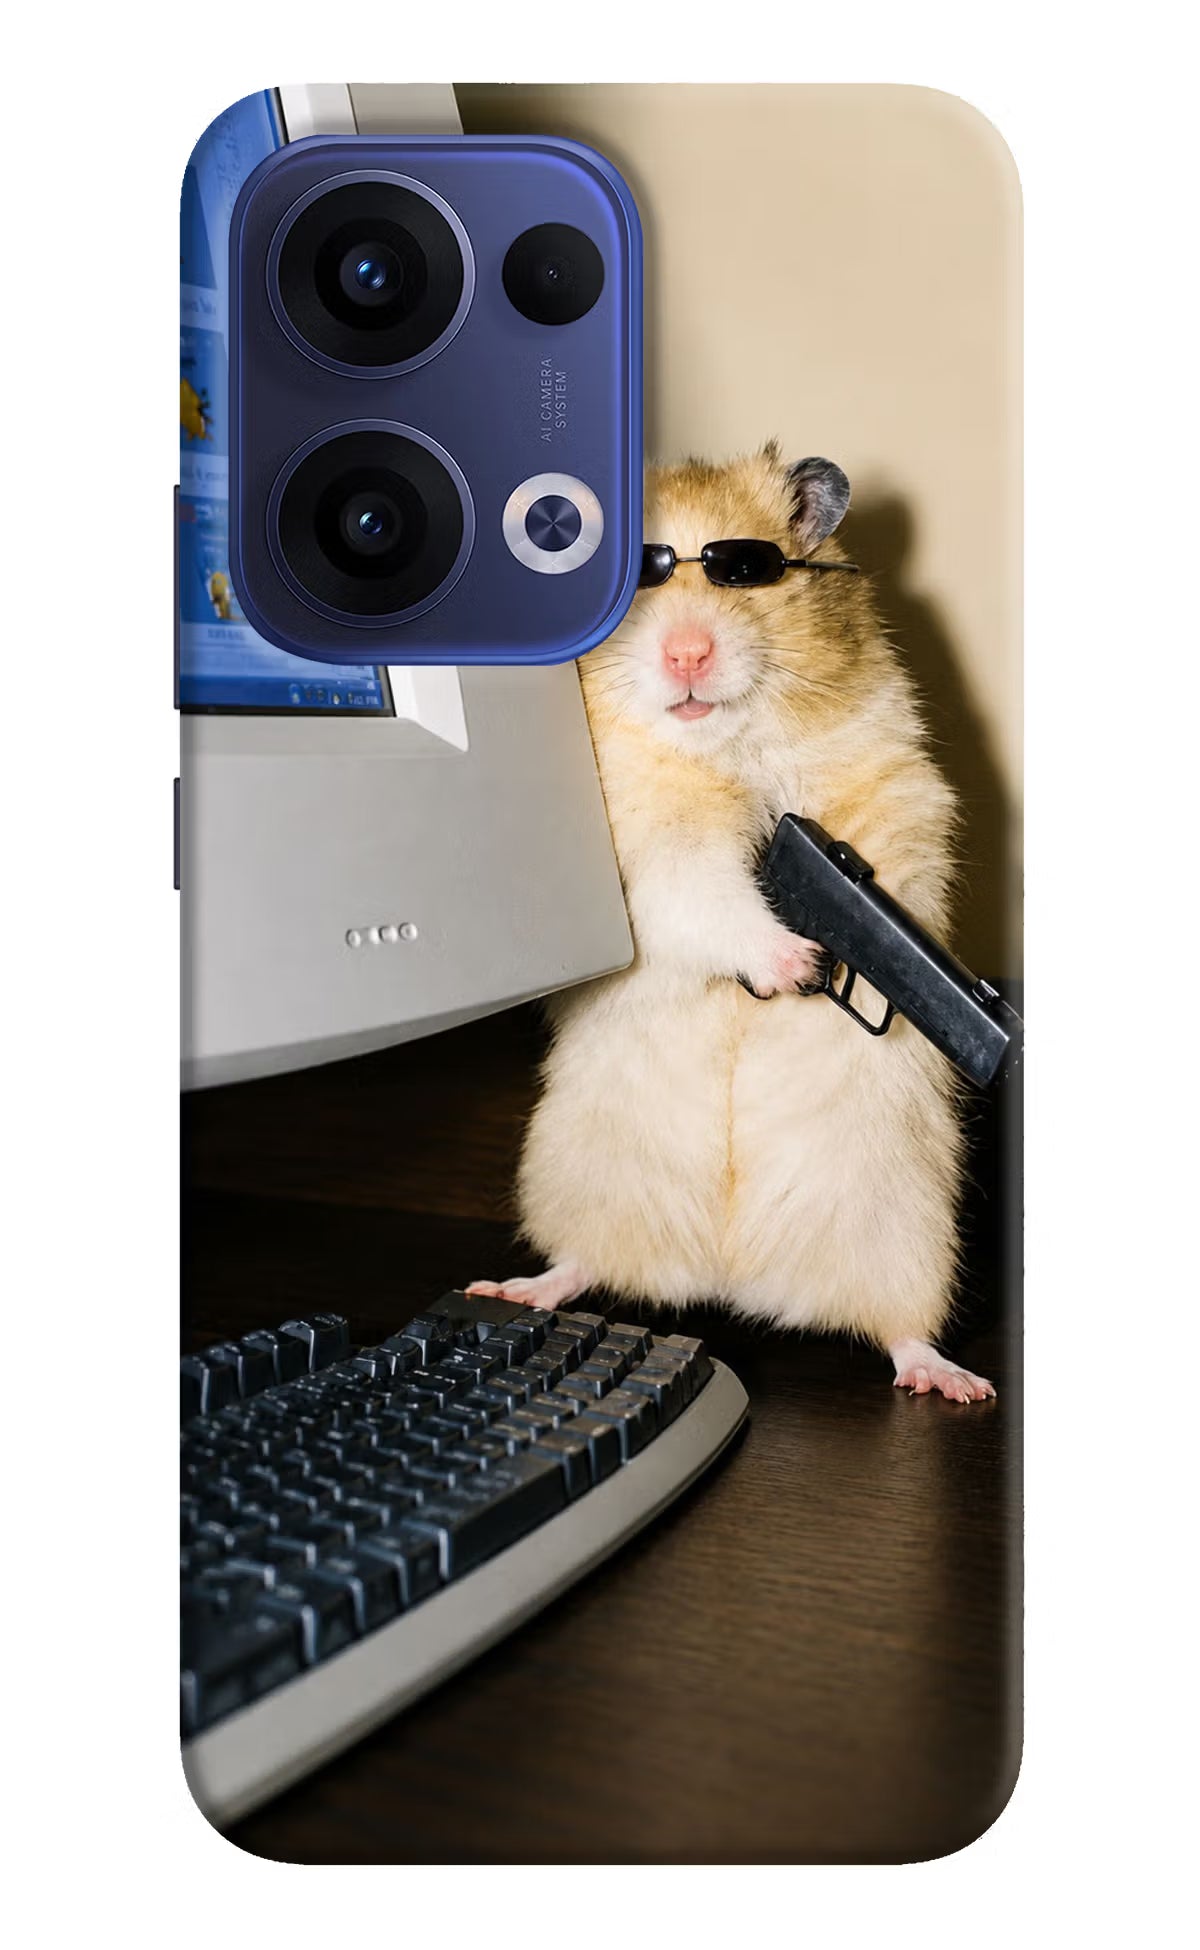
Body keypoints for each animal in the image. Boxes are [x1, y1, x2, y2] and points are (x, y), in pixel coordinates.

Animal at [469, 445, 994, 1403]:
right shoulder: (650, 853)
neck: (725, 746)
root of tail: (730, 1276)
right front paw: (797, 964)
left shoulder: (894, 788)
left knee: (900, 1329)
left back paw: (954, 1381)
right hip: (578, 1175)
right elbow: (708, 895)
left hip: (907, 1228)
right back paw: (514, 1288)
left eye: (746, 572)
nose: (687, 653)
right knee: (582, 1263)